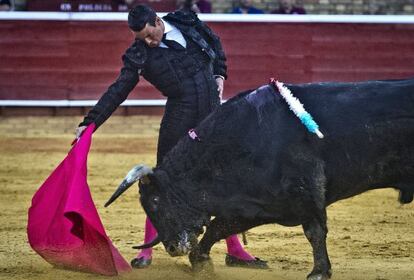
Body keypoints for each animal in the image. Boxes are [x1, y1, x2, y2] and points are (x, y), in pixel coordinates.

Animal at [106, 77, 414, 278]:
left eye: (156, 201)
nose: (171, 248)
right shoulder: (256, 204)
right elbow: (218, 227)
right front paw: (201, 264)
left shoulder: (305, 194)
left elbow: (315, 232)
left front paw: (319, 272)